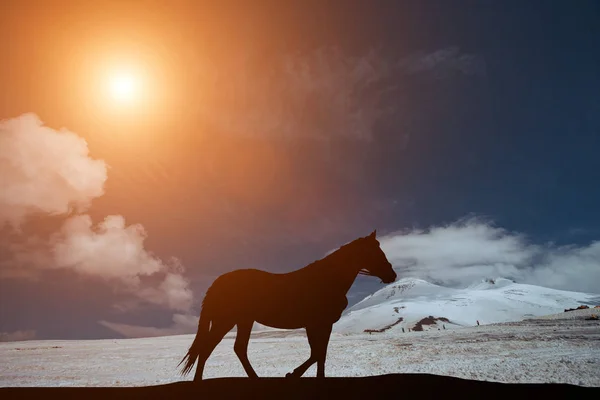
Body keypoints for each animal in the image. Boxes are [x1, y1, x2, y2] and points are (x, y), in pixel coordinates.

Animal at [176, 230, 396, 380]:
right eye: (374, 252)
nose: (392, 275)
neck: (327, 280)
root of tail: (218, 282)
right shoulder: (316, 324)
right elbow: (317, 353)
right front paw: (293, 373)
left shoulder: (323, 325)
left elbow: (320, 354)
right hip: (226, 320)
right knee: (207, 348)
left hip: (244, 320)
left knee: (238, 348)